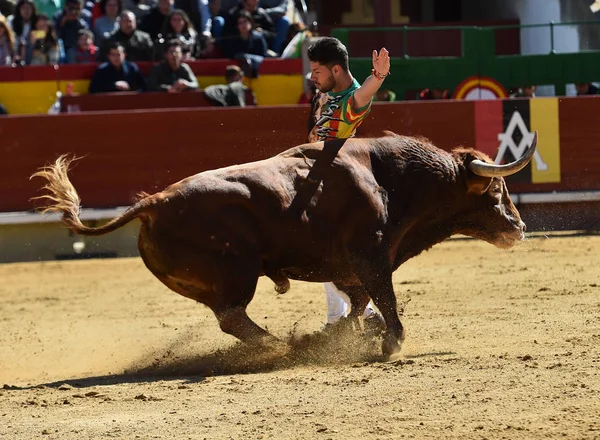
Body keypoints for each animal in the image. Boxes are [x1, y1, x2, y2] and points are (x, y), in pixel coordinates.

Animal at [31, 130, 540, 354]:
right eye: (496, 190)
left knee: (228, 317)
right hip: (236, 271)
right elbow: (384, 297)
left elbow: (359, 302)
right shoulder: (371, 254)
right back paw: (280, 346)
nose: (518, 228)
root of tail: (155, 202)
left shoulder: (349, 266)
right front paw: (391, 342)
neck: (389, 179)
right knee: (233, 316)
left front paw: (342, 334)